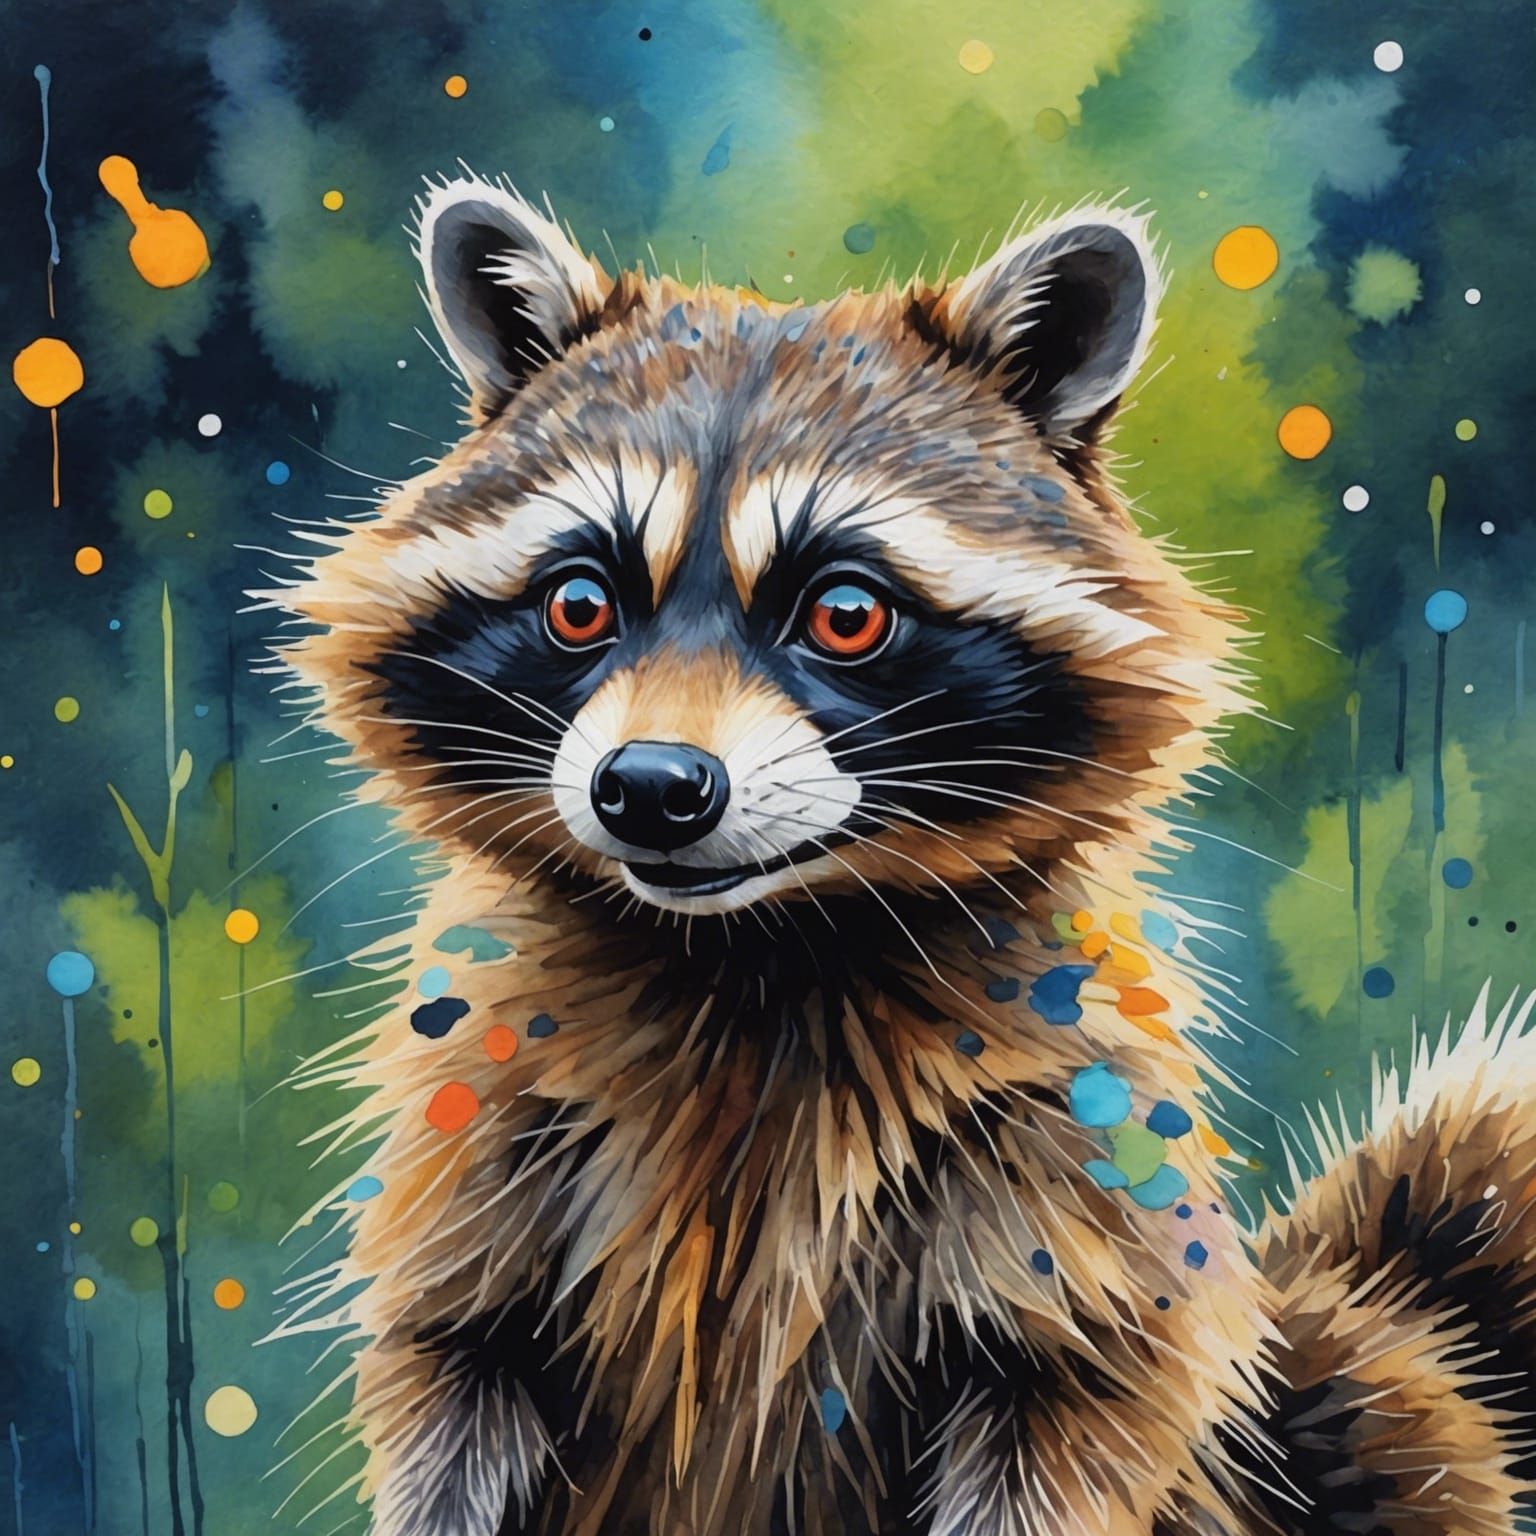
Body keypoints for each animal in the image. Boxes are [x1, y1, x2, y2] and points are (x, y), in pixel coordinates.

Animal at [271, 176, 1536, 1535]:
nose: (651, 790)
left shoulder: (1065, 1160)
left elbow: (1068, 1411)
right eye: (578, 605)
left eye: (845, 614)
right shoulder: (482, 1143)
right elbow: (457, 1401)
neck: (755, 948)